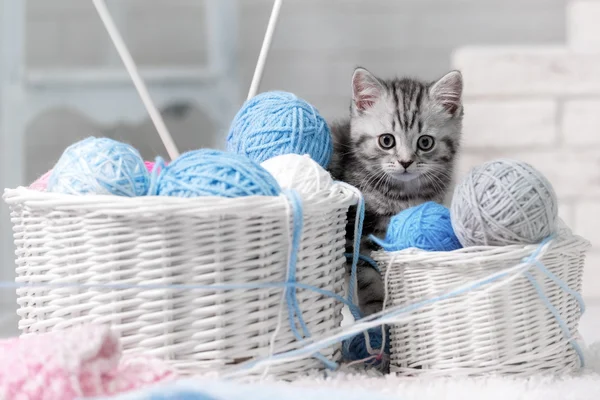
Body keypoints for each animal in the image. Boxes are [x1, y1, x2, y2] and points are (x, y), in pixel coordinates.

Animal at [328, 67, 464, 316]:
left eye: (425, 143)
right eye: (387, 141)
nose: (406, 162)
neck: (403, 194)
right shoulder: (357, 234)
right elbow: (369, 277)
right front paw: (376, 313)